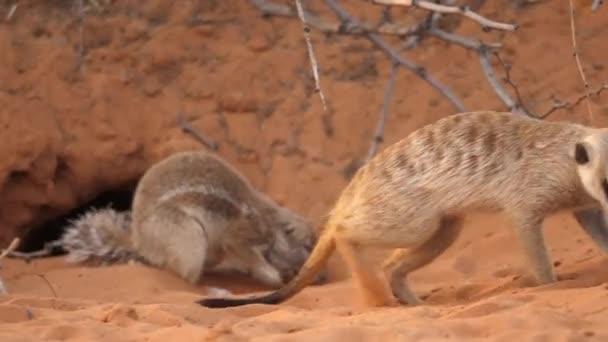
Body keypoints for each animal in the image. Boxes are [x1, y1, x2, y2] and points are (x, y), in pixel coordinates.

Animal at [197, 111, 608, 308]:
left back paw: (408, 299)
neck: (566, 159)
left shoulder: (583, 203)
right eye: (606, 180)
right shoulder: (532, 190)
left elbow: (593, 222)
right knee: (350, 230)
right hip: (407, 210)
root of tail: (356, 184)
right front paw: (551, 284)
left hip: (442, 222)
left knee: (417, 249)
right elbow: (526, 225)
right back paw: (375, 291)